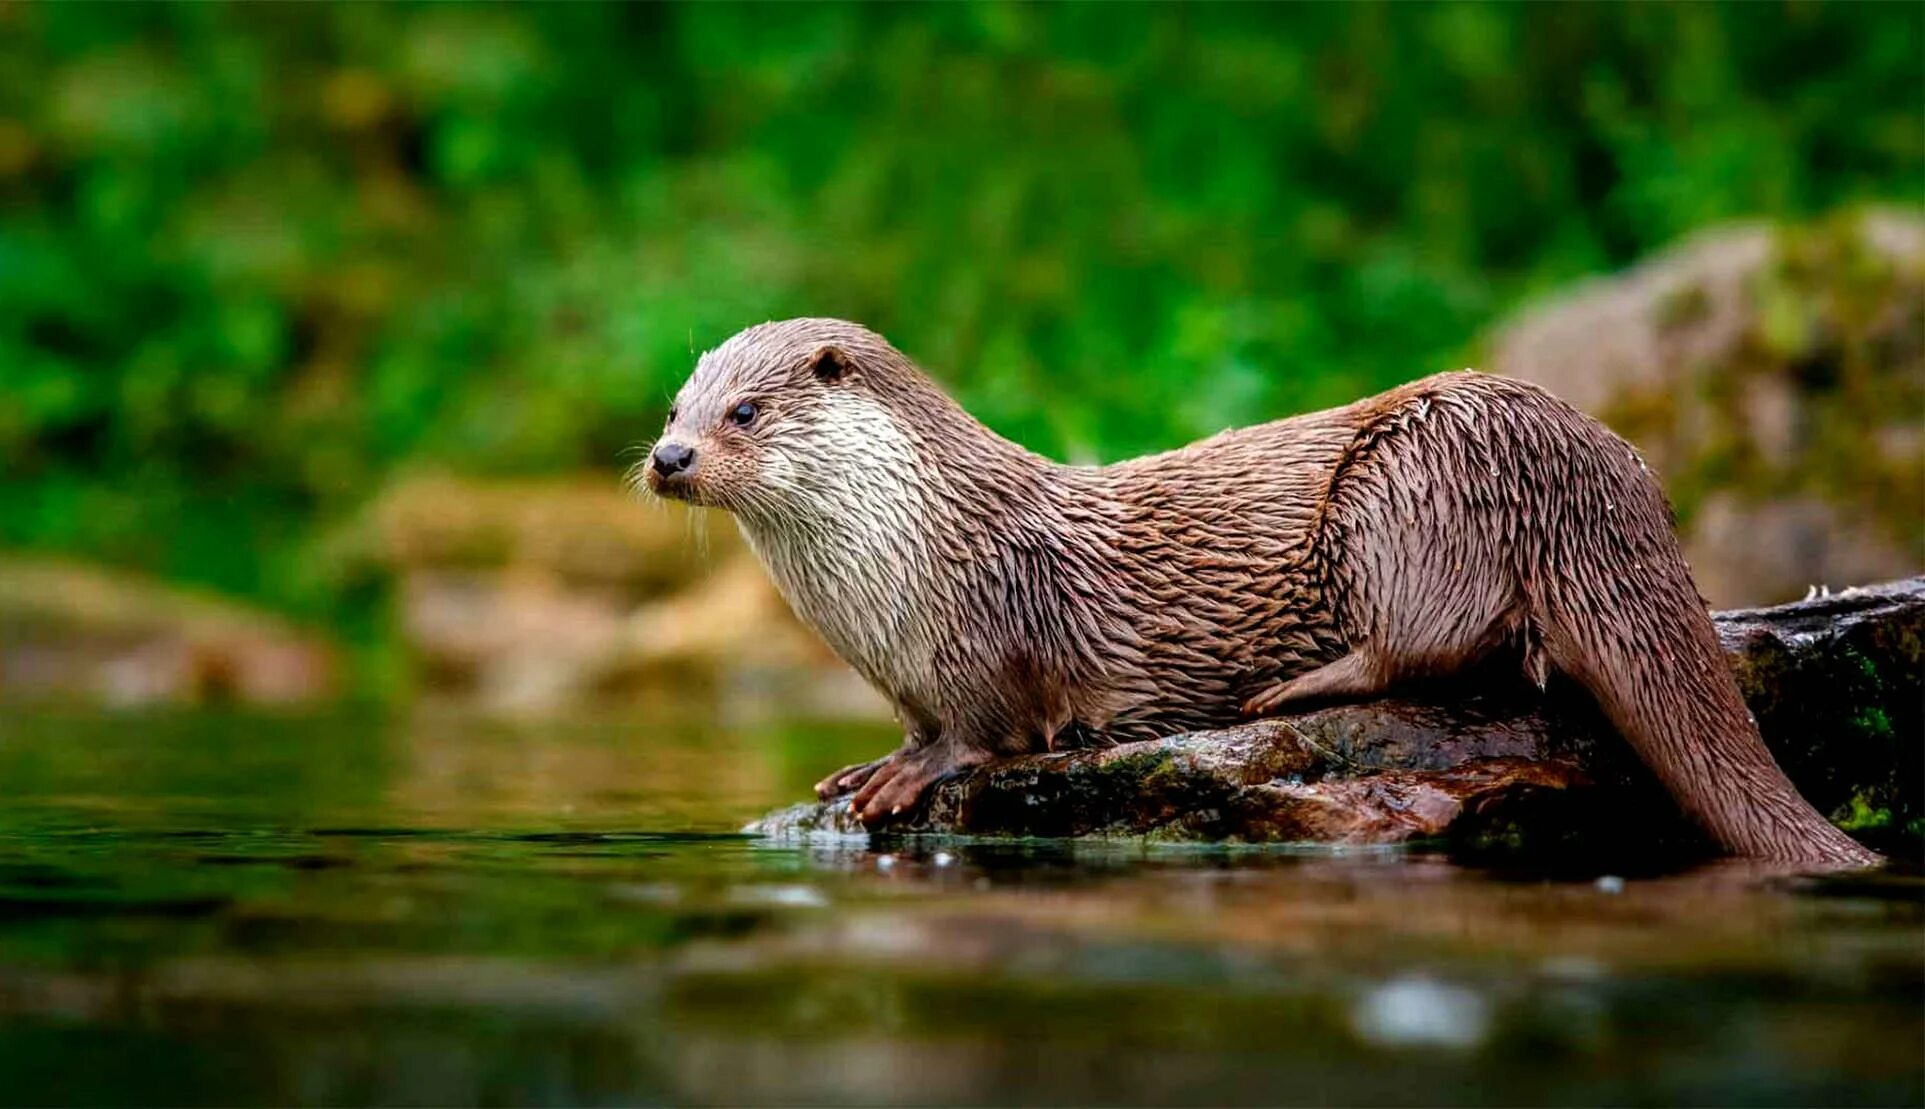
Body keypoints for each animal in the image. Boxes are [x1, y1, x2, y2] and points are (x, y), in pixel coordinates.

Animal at [646, 313, 1878, 866]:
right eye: (674, 405)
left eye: (743, 411)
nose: (668, 457)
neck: (906, 560)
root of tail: (1595, 464)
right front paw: (865, 761)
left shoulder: (996, 632)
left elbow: (986, 731)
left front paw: (905, 774)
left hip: (1411, 484)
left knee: (1432, 643)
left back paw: (1291, 689)